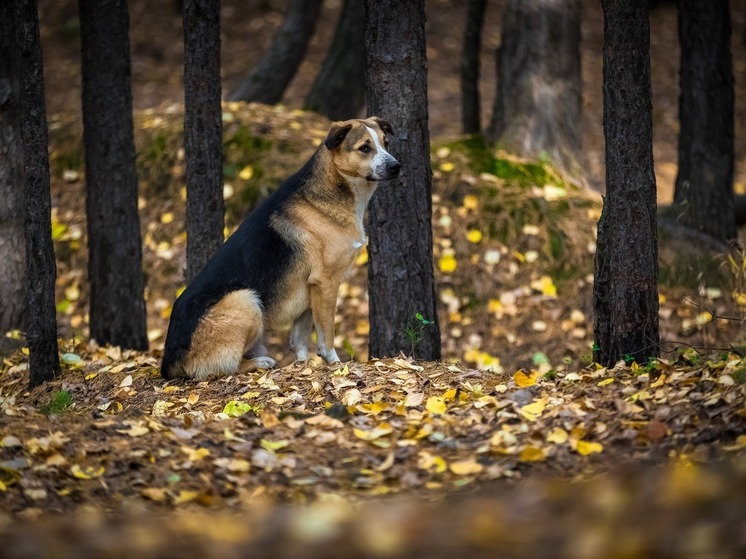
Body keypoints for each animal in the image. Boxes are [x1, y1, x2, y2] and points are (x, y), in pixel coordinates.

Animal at [160, 117, 398, 380]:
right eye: (365, 148)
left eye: (386, 143)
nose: (396, 166)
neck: (335, 187)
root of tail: (169, 362)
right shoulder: (325, 283)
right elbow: (326, 337)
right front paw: (336, 365)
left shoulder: (309, 287)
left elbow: (299, 339)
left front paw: (303, 365)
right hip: (245, 299)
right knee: (224, 367)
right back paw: (261, 362)